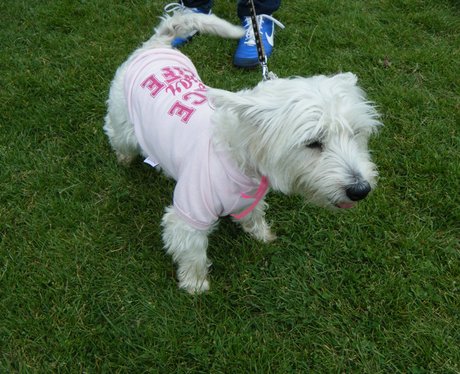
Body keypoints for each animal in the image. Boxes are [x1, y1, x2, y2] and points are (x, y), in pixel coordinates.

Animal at [104, 11, 380, 294]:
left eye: (356, 133)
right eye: (313, 143)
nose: (360, 190)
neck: (237, 158)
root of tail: (156, 45)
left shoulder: (250, 197)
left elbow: (254, 216)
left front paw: (262, 234)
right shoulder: (189, 214)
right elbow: (192, 252)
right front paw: (195, 284)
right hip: (123, 123)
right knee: (117, 135)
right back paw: (124, 159)